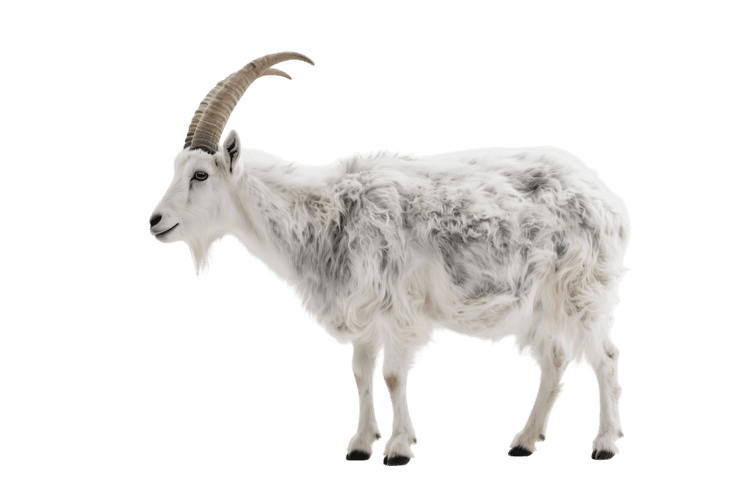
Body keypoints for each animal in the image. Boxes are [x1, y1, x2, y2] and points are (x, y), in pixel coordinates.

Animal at [149, 51, 631, 466]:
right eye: (176, 169)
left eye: (200, 174)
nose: (155, 221)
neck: (327, 213)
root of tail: (610, 202)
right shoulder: (363, 308)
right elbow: (361, 373)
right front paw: (361, 444)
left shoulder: (399, 307)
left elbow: (393, 376)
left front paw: (398, 448)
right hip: (542, 302)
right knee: (555, 360)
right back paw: (525, 441)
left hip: (583, 290)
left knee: (605, 357)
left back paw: (604, 443)